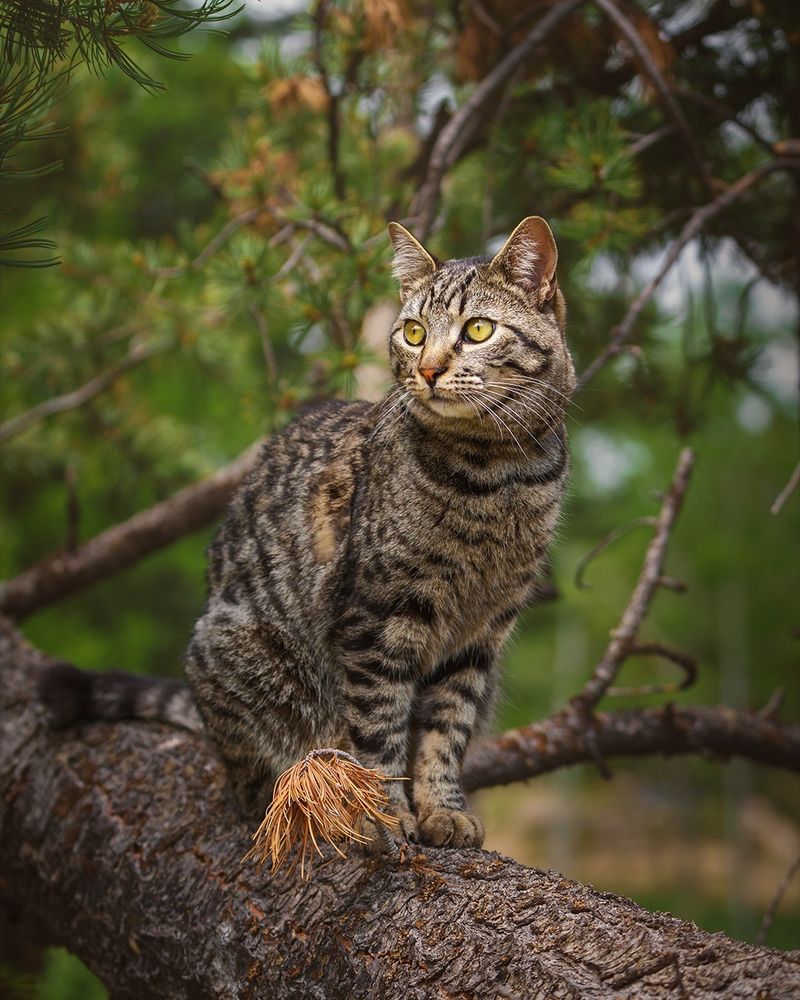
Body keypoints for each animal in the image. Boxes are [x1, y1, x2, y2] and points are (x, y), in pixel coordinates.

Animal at [39, 215, 576, 848]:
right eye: (414, 332)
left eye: (478, 329)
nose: (428, 369)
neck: (496, 477)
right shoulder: (378, 619)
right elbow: (380, 731)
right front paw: (388, 813)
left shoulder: (479, 637)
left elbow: (446, 730)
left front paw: (442, 808)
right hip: (247, 663)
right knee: (260, 780)